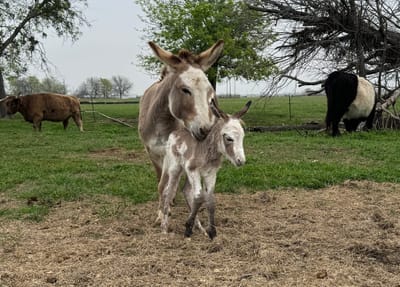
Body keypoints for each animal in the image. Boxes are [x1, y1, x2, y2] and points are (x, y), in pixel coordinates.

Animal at [159, 100, 250, 240]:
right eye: (229, 138)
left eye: (243, 137)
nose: (241, 161)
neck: (205, 150)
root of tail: (175, 133)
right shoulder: (193, 171)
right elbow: (198, 197)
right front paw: (187, 230)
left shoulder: (210, 173)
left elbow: (210, 199)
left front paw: (211, 232)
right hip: (175, 168)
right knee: (169, 191)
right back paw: (164, 228)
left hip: (187, 173)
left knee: (186, 190)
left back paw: (199, 227)